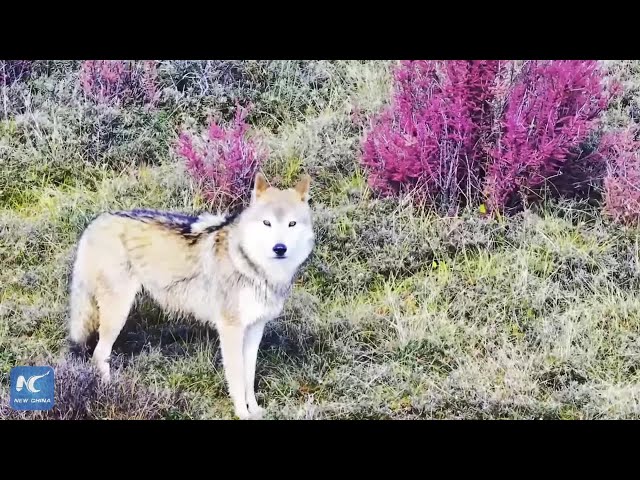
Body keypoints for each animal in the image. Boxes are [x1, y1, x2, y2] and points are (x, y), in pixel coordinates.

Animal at [68, 172, 316, 416]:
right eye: (267, 223)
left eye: (291, 224)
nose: (279, 248)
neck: (252, 265)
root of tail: (95, 222)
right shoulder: (230, 329)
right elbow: (236, 378)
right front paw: (242, 414)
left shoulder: (255, 328)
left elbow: (249, 374)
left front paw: (254, 410)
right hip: (117, 315)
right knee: (99, 354)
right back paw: (110, 392)